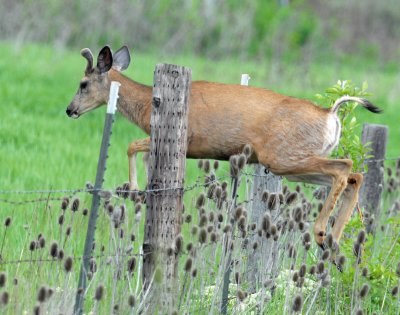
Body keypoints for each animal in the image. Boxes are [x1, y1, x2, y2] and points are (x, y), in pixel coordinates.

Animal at [66, 45, 382, 248]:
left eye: (83, 83)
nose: (70, 110)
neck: (148, 104)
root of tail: (330, 114)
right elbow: (142, 156)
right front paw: (143, 190)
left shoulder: (186, 138)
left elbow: (131, 146)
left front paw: (132, 189)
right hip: (292, 163)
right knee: (354, 175)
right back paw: (336, 241)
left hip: (283, 156)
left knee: (345, 167)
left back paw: (321, 233)